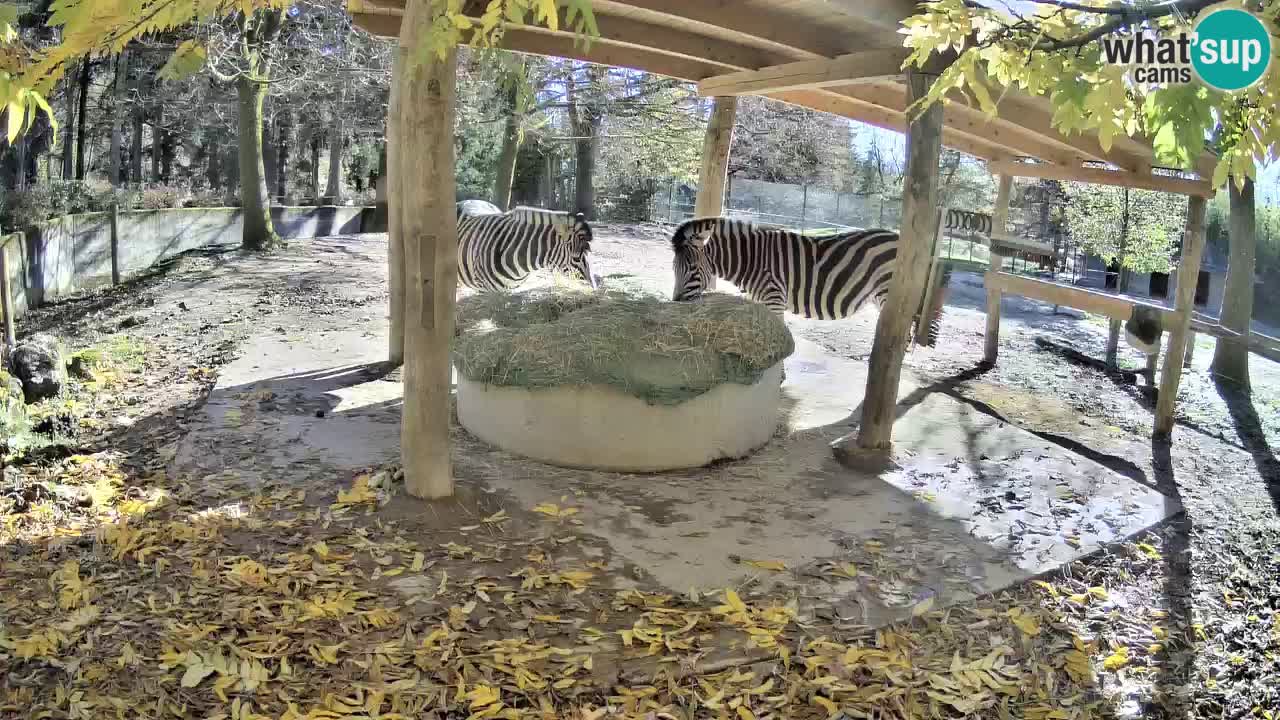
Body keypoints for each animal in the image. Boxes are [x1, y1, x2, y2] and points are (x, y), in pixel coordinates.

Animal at [669, 216, 950, 346]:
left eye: (692, 268)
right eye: (674, 268)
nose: (677, 303)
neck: (753, 260)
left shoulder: (774, 297)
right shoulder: (761, 301)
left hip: (888, 294)